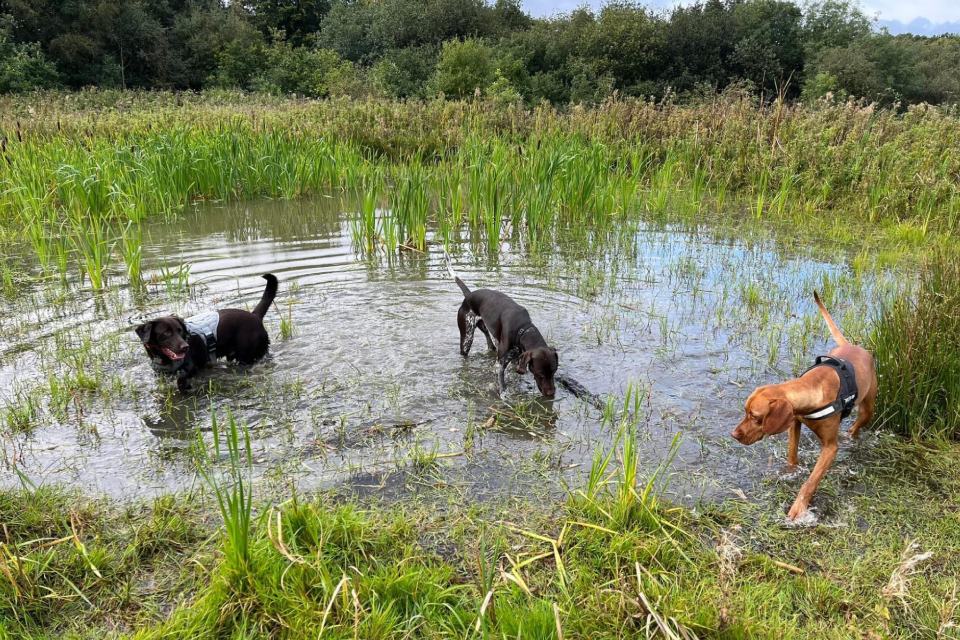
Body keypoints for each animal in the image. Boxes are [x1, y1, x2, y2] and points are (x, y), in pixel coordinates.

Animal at [131, 274, 276, 390]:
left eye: (180, 331)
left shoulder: (192, 367)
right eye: (166, 333)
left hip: (248, 356)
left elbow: (182, 379)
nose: (185, 347)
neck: (162, 358)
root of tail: (255, 316)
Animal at [736, 292, 876, 524]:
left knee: (859, 424)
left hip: (868, 408)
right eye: (745, 412)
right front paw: (790, 471)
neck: (811, 388)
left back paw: (852, 434)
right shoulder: (795, 423)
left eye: (755, 417)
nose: (734, 434)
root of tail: (853, 345)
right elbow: (792, 454)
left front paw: (799, 507)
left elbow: (811, 480)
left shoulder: (830, 448)